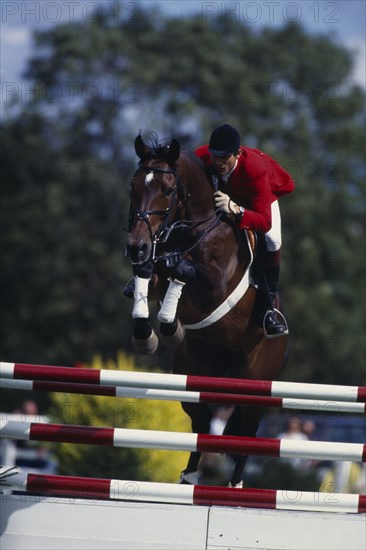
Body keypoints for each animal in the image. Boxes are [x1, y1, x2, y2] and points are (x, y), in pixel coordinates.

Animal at [126, 134, 288, 488]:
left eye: (168, 190)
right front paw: (148, 334)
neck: (195, 229)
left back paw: (234, 486)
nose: (135, 246)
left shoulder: (214, 287)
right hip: (194, 373)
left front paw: (168, 325)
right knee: (200, 422)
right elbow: (148, 273)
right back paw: (189, 477)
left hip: (254, 381)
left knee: (246, 432)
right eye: (133, 186)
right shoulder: (154, 267)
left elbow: (181, 271)